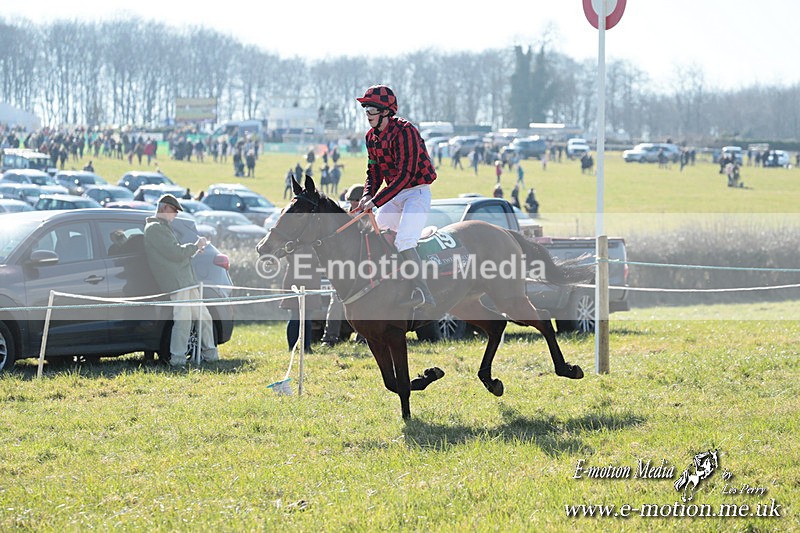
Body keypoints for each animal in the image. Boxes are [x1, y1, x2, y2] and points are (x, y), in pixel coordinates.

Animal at [256, 176, 592, 420]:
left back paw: (567, 369)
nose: (263, 246)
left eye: (296, 213)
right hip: (465, 303)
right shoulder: (373, 337)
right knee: (497, 326)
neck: (361, 264)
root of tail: (504, 232)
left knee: (543, 322)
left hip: (509, 295)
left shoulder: (394, 334)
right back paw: (490, 381)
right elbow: (391, 382)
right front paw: (430, 374)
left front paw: (409, 415)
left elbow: (401, 382)